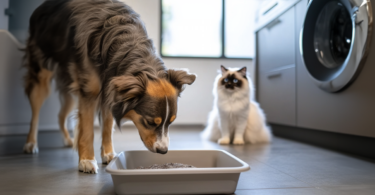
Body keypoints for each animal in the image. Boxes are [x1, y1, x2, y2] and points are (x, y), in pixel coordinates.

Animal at [23, 0, 197, 174]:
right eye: (149, 122)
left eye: (170, 123)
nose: (163, 151)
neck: (125, 43)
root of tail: (43, 5)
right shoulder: (89, 91)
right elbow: (87, 130)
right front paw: (86, 160)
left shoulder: (110, 89)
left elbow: (107, 125)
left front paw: (108, 154)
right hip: (41, 74)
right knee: (35, 113)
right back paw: (31, 143)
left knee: (60, 115)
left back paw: (67, 140)